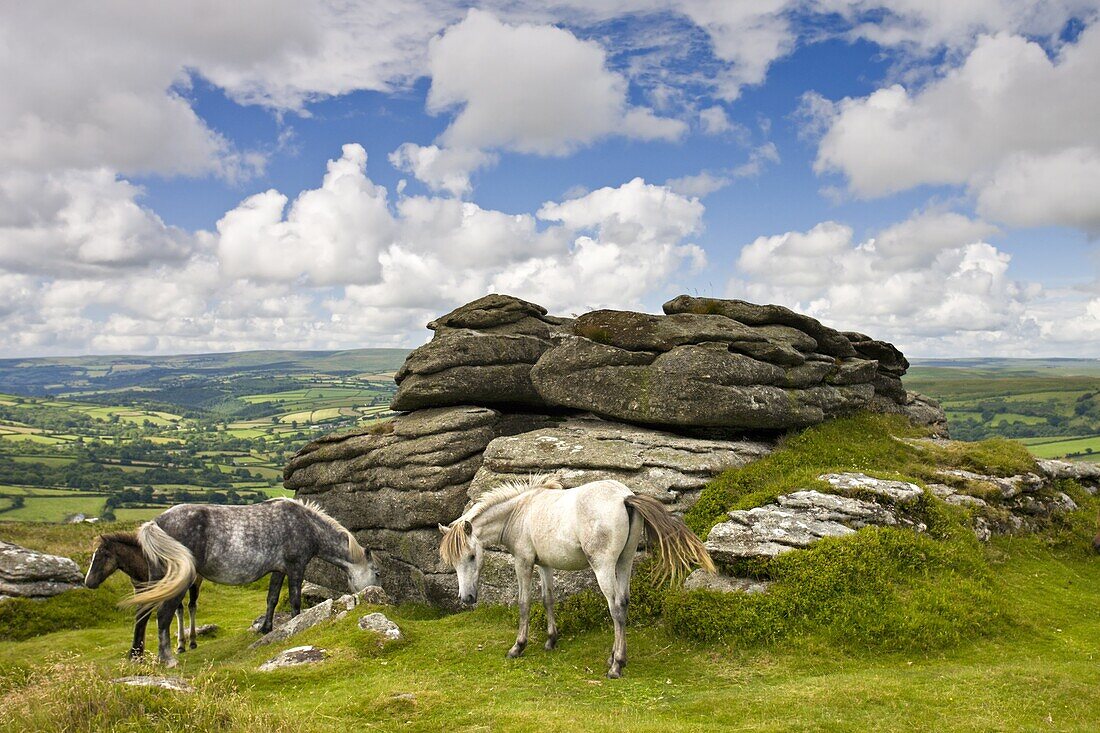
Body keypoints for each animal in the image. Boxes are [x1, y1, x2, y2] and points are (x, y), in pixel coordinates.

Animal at [122, 497, 380, 660]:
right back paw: (167, 657)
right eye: (377, 573)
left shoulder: (278, 570)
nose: (378, 596)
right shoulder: (295, 568)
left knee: (143, 613)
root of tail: (156, 523)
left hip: (157, 578)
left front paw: (266, 628)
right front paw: (295, 626)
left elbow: (272, 599)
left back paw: (137, 655)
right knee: (162, 615)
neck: (306, 525)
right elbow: (295, 601)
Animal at [437, 473, 712, 673]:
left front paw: (518, 647)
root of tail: (625, 497)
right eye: (454, 562)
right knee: (624, 602)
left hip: (603, 567)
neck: (520, 512)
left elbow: (524, 603)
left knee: (615, 607)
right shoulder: (544, 565)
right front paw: (551, 640)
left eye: (472, 556)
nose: (466, 598)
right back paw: (614, 656)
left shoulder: (523, 563)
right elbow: (548, 599)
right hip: (624, 562)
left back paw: (616, 665)